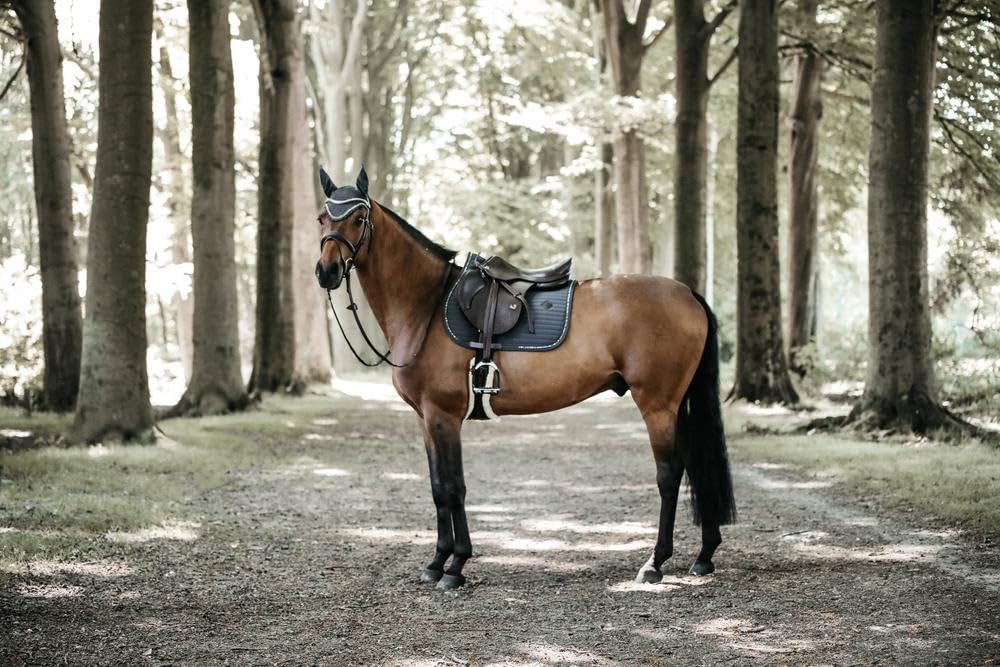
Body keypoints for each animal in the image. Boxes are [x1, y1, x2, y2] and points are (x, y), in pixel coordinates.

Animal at [314, 167, 736, 590]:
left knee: (670, 474)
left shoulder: (444, 416)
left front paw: (456, 565)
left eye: (358, 218)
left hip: (658, 405)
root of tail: (688, 294)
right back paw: (704, 555)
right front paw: (436, 562)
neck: (427, 307)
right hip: (677, 404)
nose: (326, 271)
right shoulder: (425, 419)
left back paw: (655, 562)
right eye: (322, 218)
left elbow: (454, 487)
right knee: (696, 466)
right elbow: (437, 488)